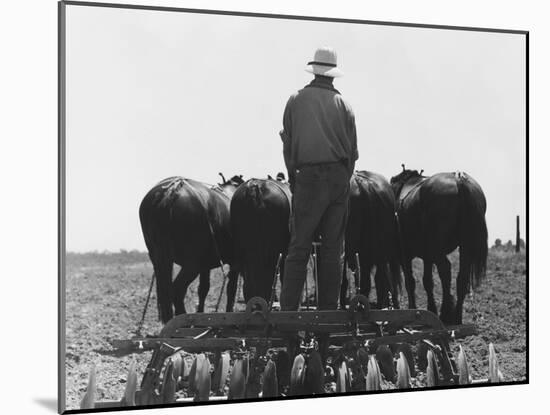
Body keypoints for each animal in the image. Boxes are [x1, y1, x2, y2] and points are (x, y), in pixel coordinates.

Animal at [140, 174, 246, 324]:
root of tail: (172, 191)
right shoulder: (234, 263)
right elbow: (231, 289)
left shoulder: (205, 266)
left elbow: (203, 289)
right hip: (191, 265)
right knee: (177, 290)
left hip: (159, 259)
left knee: (166, 291)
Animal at [390, 167, 490, 324]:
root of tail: (458, 179)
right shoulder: (427, 257)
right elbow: (427, 282)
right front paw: (431, 309)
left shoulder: (405, 255)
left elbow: (410, 282)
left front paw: (414, 309)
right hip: (464, 248)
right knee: (462, 278)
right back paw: (456, 317)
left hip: (437, 249)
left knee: (445, 269)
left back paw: (446, 313)